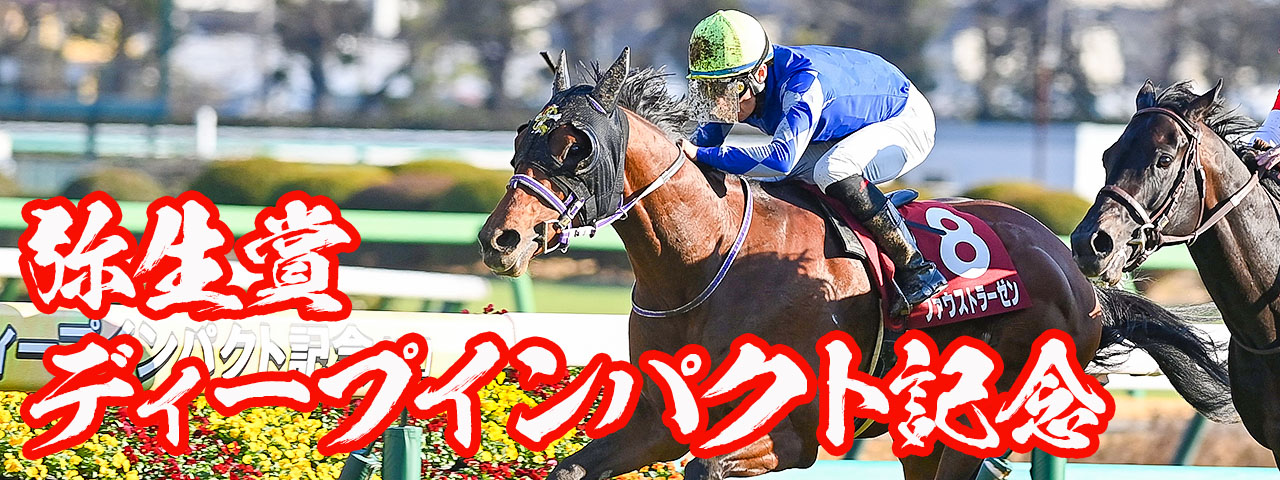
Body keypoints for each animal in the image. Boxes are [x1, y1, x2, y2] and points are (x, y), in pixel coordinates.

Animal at [479, 49, 1233, 480]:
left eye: (576, 147)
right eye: (520, 139)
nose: (501, 239)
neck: (701, 262)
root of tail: (1083, 281)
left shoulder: (790, 432)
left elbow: (706, 470)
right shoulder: (661, 420)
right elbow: (571, 470)